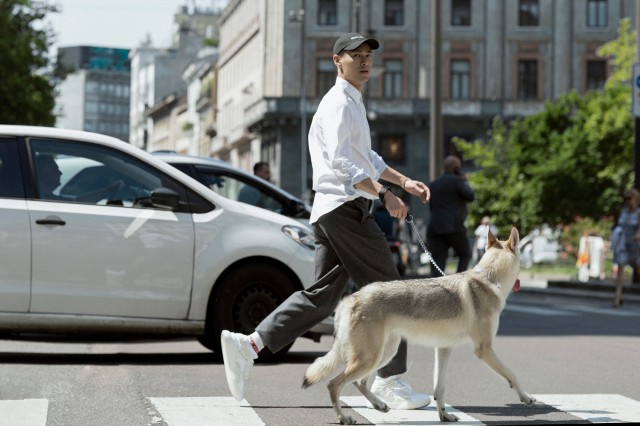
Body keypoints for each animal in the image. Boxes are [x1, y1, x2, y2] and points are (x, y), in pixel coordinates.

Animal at [300, 226, 536, 422]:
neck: (489, 280)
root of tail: (348, 299)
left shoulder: (443, 348)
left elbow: (439, 389)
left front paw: (445, 416)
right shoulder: (484, 349)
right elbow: (512, 374)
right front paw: (527, 397)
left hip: (383, 354)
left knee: (359, 383)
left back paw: (379, 405)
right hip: (370, 358)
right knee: (334, 384)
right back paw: (344, 418)